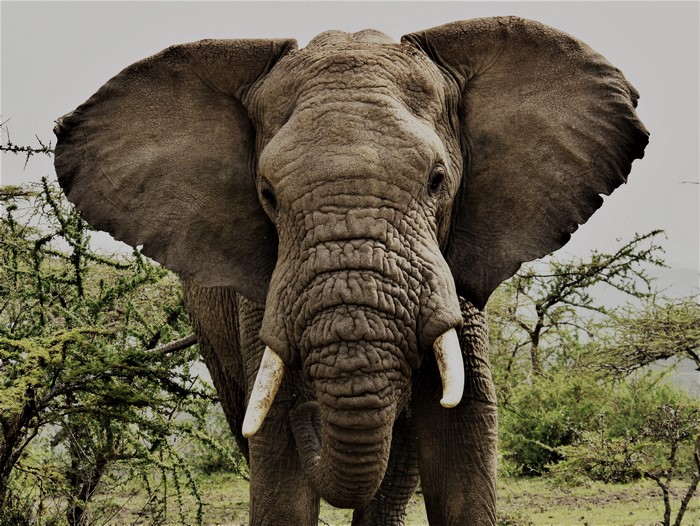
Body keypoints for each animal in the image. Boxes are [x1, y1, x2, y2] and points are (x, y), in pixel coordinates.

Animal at [53, 16, 648, 525]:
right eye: (267, 194)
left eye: (437, 180)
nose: (309, 413)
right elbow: (279, 468)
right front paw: (291, 425)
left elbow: (463, 440)